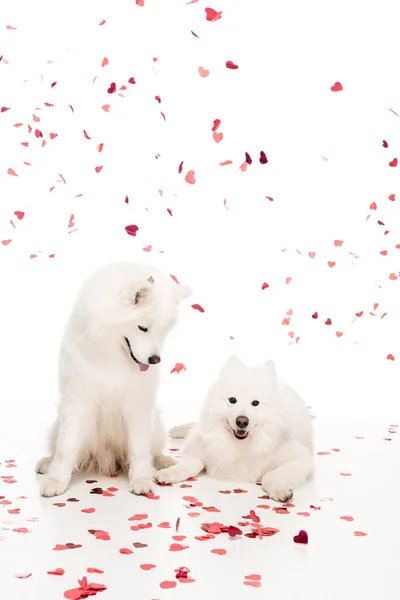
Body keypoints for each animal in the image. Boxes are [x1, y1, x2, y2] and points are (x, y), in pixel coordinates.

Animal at [35, 262, 191, 496]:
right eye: (143, 328)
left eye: (163, 332)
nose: (155, 360)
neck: (113, 356)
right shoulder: (77, 401)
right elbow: (66, 447)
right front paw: (56, 481)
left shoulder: (138, 405)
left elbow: (139, 447)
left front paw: (141, 479)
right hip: (58, 424)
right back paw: (47, 463)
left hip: (156, 426)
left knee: (152, 451)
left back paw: (162, 461)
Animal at [156, 356, 312, 502]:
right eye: (232, 400)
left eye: (255, 403)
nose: (242, 421)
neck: (240, 444)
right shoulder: (200, 448)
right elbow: (193, 463)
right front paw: (168, 473)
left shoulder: (301, 458)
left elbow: (270, 475)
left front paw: (280, 490)